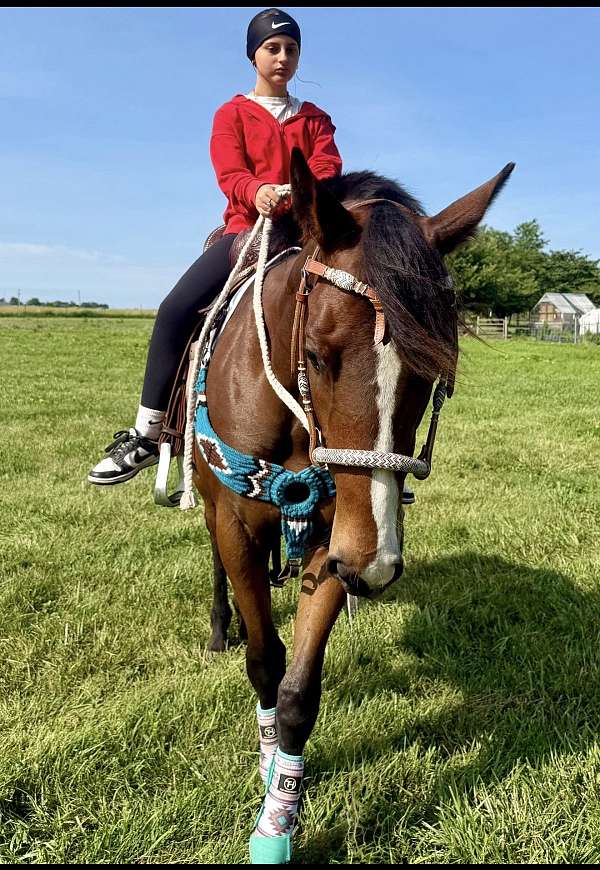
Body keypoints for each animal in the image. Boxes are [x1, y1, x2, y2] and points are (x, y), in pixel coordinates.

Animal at [190, 147, 514, 859]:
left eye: (436, 372)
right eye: (316, 354)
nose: (377, 564)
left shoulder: (337, 535)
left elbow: (297, 692)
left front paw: (277, 821)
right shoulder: (241, 521)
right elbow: (264, 663)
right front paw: (265, 769)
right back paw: (222, 625)